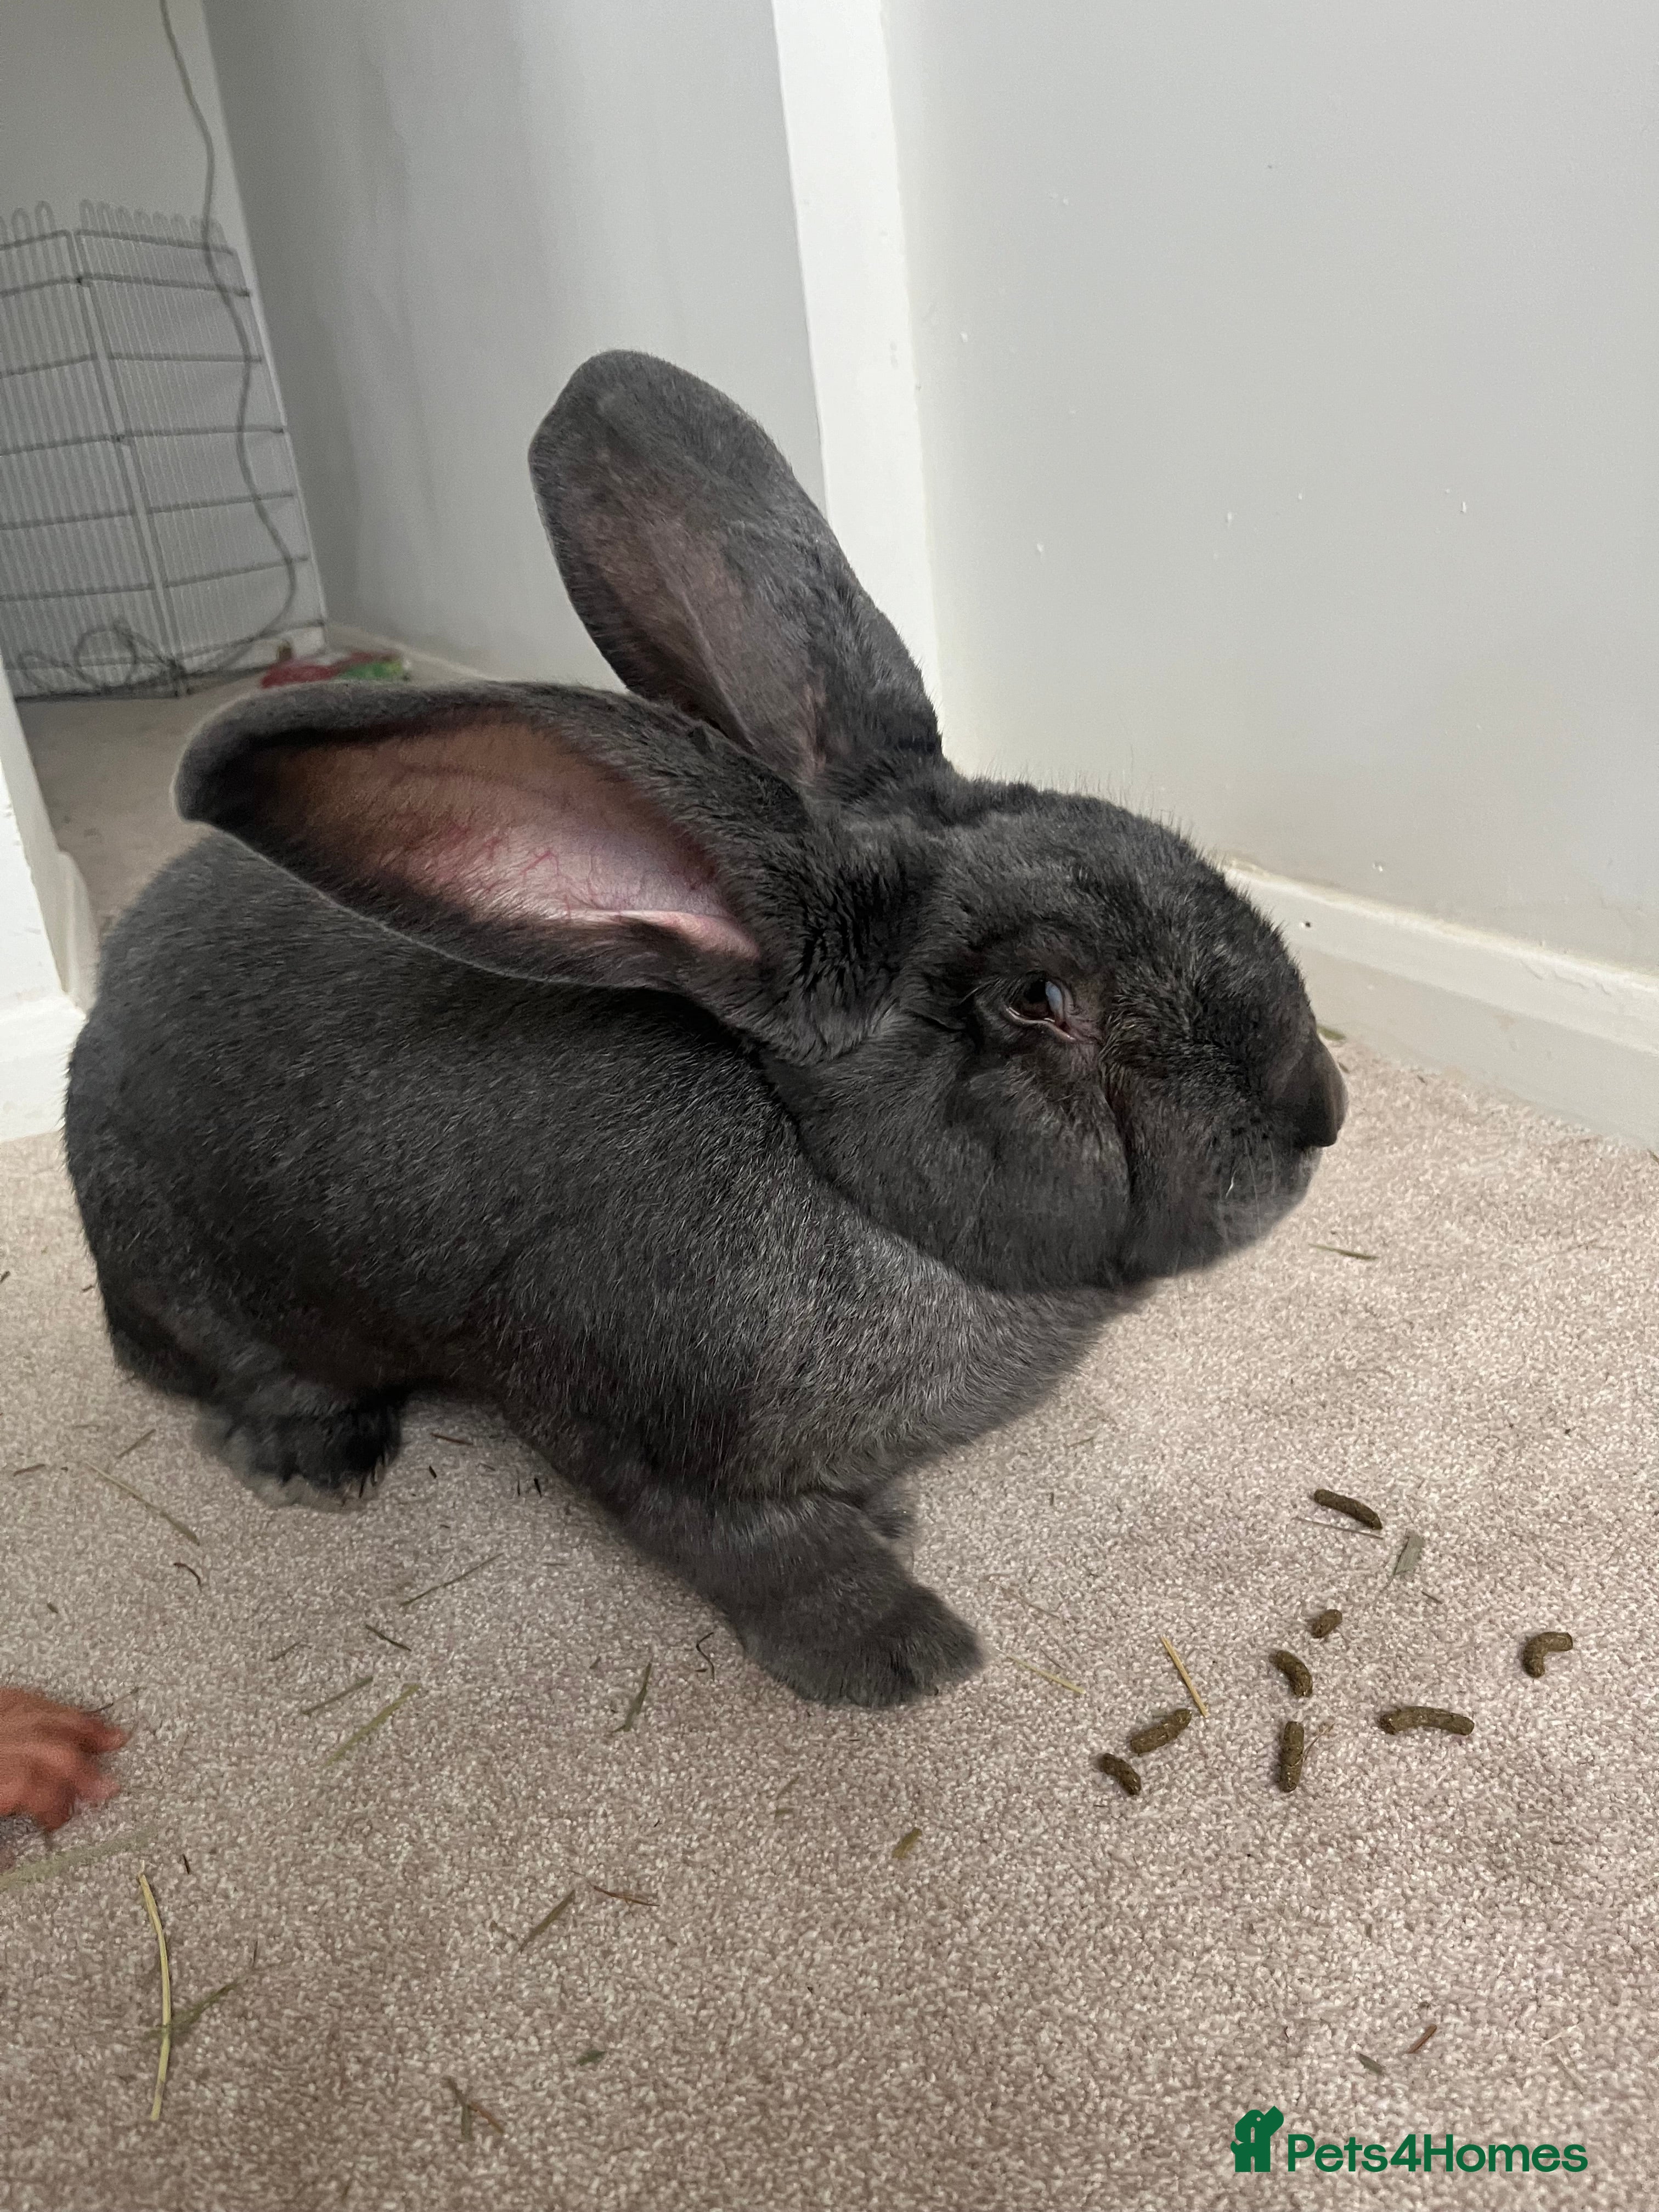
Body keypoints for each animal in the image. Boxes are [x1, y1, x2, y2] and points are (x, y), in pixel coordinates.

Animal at [64, 350, 1345, 1708]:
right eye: (1039, 1000)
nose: (1321, 1107)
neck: (836, 1174)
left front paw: (886, 1518)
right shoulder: (639, 1439)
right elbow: (761, 1549)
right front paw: (903, 1652)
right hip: (209, 1288)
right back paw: (317, 1456)